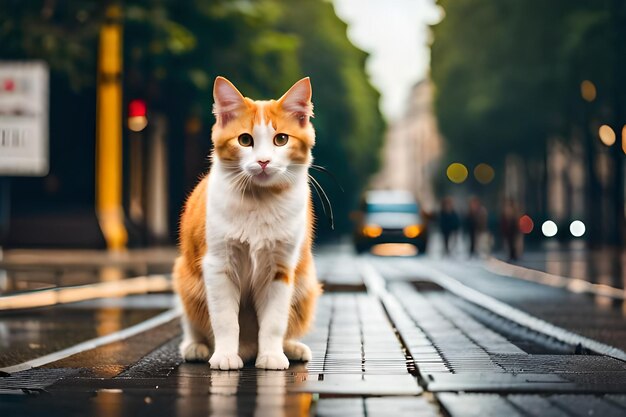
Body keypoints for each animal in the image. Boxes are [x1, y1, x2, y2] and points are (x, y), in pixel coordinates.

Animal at [173, 76, 322, 368]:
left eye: (281, 139)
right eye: (244, 140)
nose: (263, 161)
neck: (259, 201)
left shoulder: (280, 269)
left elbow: (274, 322)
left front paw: (272, 355)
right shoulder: (218, 265)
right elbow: (225, 320)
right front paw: (225, 355)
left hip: (305, 282)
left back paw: (291, 348)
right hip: (185, 279)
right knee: (192, 321)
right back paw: (197, 347)